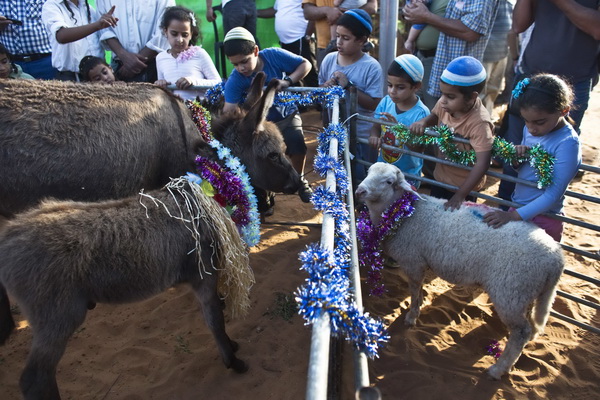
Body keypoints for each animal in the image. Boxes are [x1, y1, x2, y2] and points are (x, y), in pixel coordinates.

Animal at [354, 162, 564, 378]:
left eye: (389, 181)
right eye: (369, 172)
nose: (359, 191)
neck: (408, 214)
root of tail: (556, 257)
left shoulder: (413, 261)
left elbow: (413, 289)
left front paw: (412, 316)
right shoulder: (419, 262)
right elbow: (418, 290)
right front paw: (419, 304)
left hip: (511, 291)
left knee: (521, 332)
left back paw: (499, 369)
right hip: (527, 292)